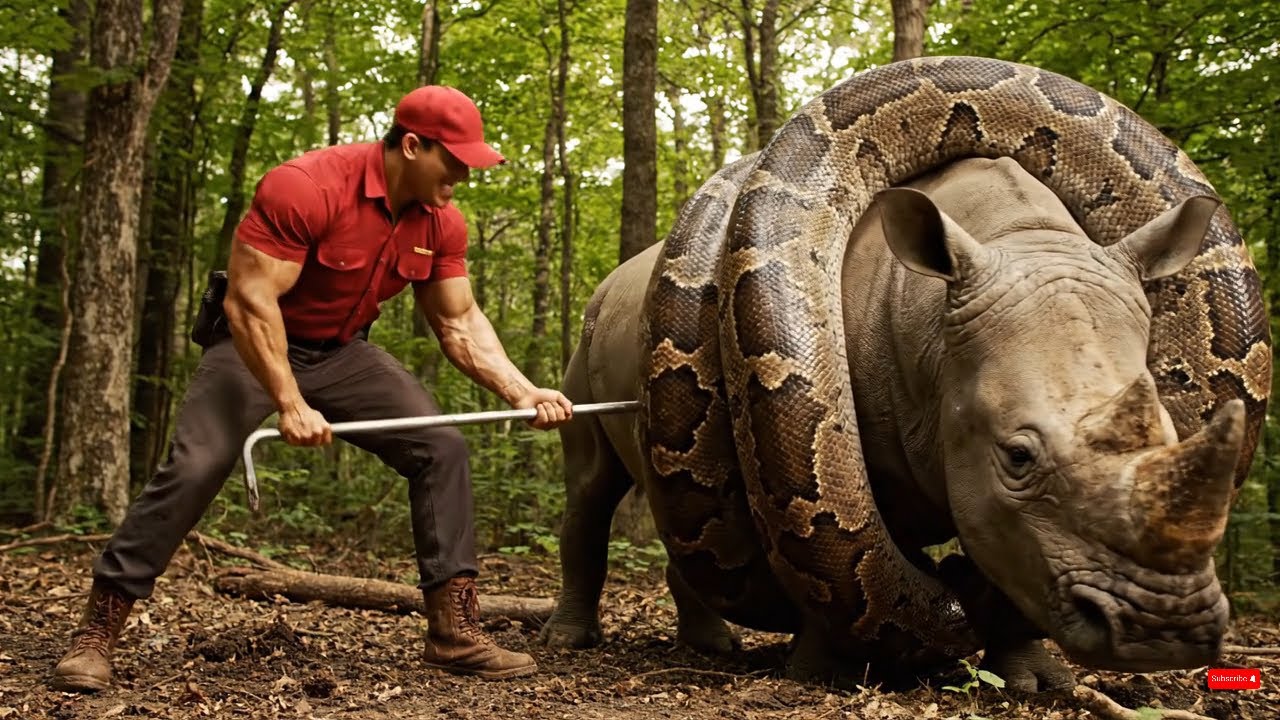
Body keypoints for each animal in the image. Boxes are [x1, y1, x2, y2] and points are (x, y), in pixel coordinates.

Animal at [539, 155, 1253, 692]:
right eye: (1018, 455)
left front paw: (1034, 680)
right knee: (592, 487)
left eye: (1173, 436)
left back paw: (712, 644)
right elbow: (854, 562)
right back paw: (571, 638)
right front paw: (823, 671)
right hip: (588, 334)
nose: (1164, 628)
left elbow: (1010, 557)